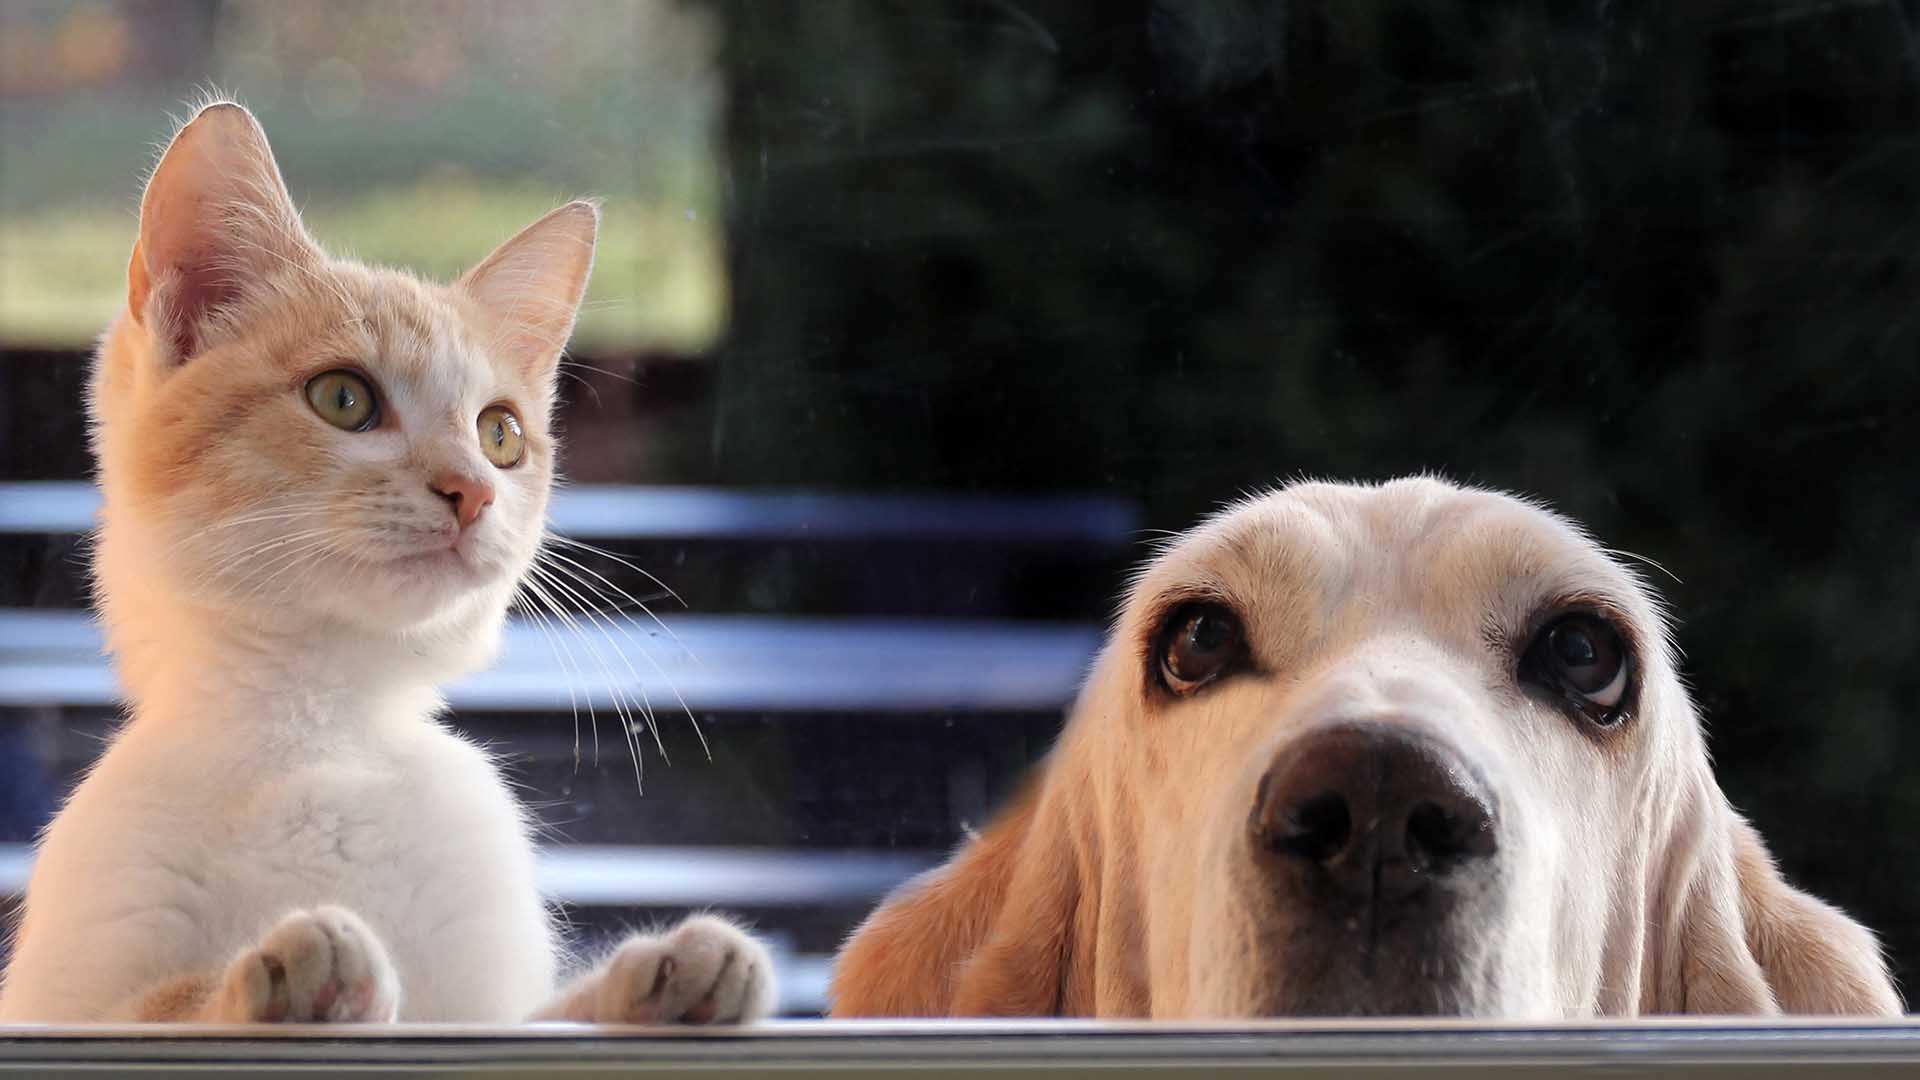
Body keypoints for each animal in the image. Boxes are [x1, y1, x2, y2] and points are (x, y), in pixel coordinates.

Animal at [3, 102, 779, 1022]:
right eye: (343, 398)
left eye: (500, 434)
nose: (471, 491)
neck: (324, 729)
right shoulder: (67, 981)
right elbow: (151, 1009)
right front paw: (280, 970)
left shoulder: (485, 997)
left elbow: (533, 1020)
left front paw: (663, 976)